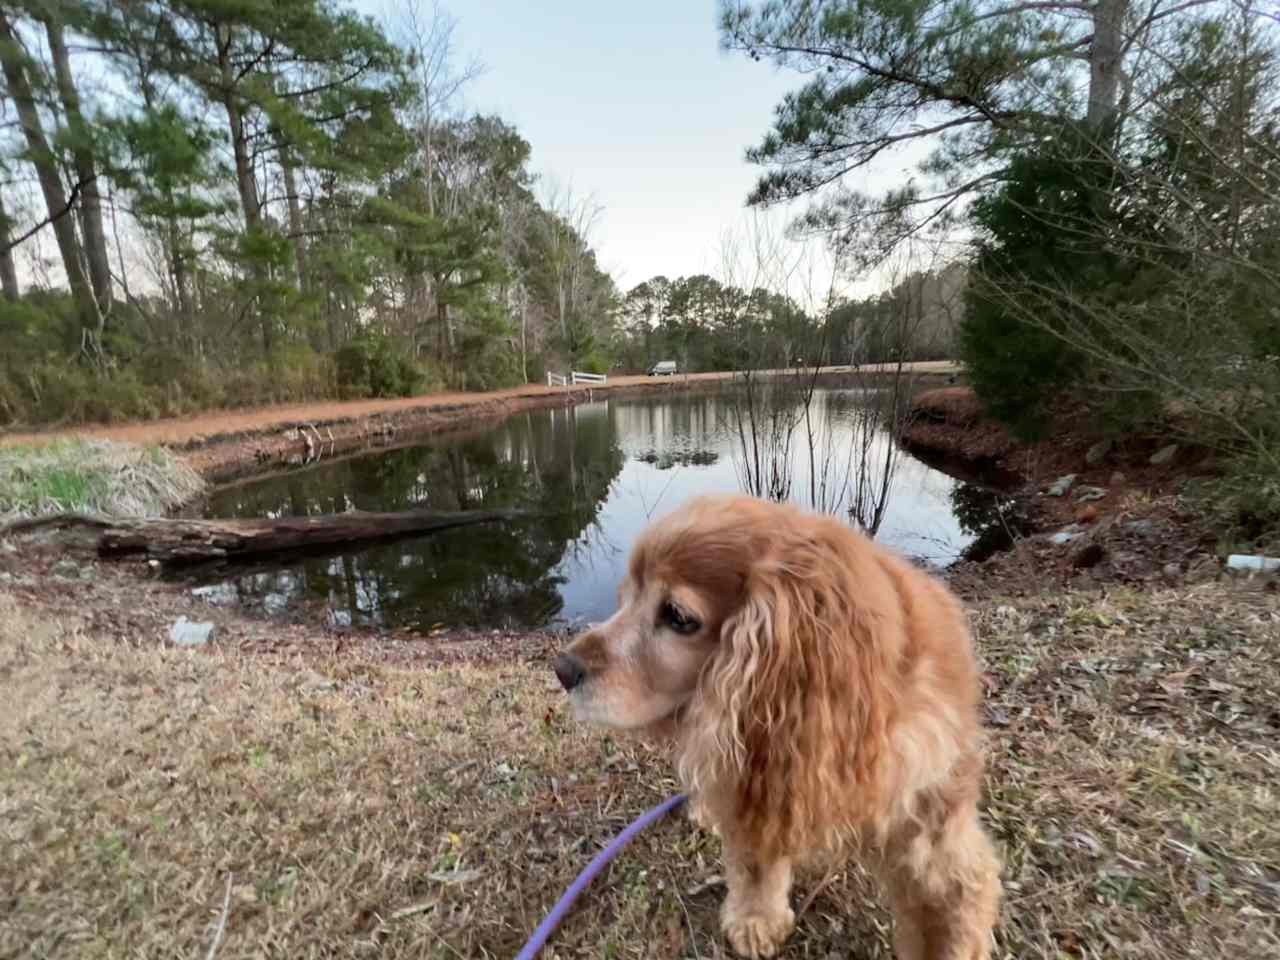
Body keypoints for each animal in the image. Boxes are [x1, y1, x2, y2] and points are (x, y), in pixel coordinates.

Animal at [550, 496, 998, 960]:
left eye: (677, 615)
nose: (563, 668)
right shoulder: (764, 774)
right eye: (628, 597)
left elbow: (953, 901)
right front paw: (755, 920)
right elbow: (755, 864)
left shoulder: (931, 811)